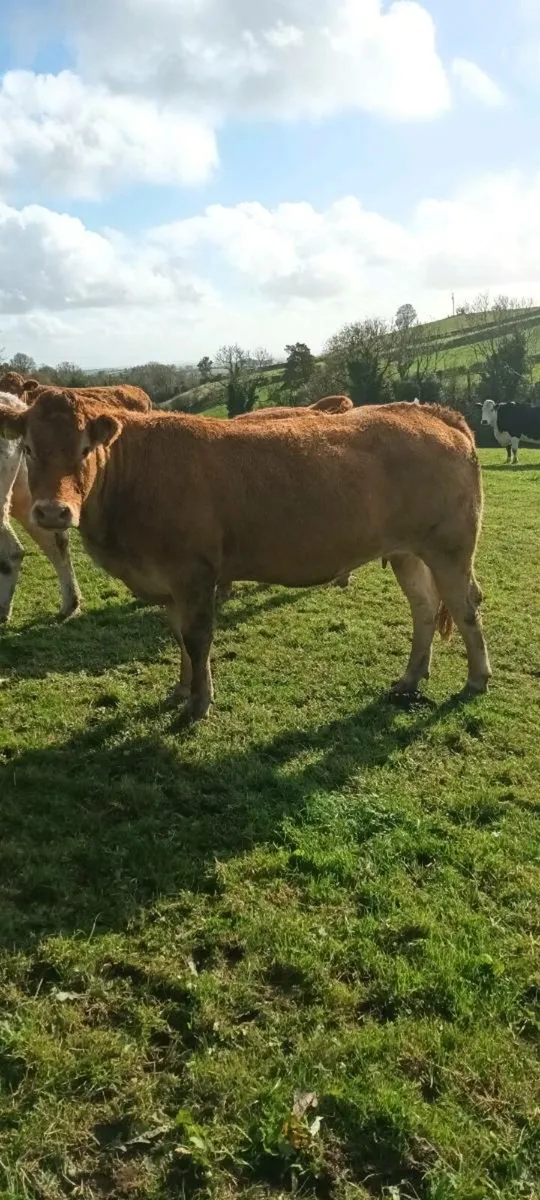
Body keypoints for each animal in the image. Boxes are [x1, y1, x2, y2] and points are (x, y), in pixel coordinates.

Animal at [0, 391, 491, 720]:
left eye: (85, 449)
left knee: (465, 607)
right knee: (425, 609)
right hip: (408, 551)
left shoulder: (194, 573)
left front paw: (199, 702)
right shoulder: (168, 582)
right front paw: (181, 689)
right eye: (29, 449)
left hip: (450, 548)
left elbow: (197, 638)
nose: (52, 511)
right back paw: (411, 678)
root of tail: (429, 412)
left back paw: (477, 678)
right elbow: (178, 637)